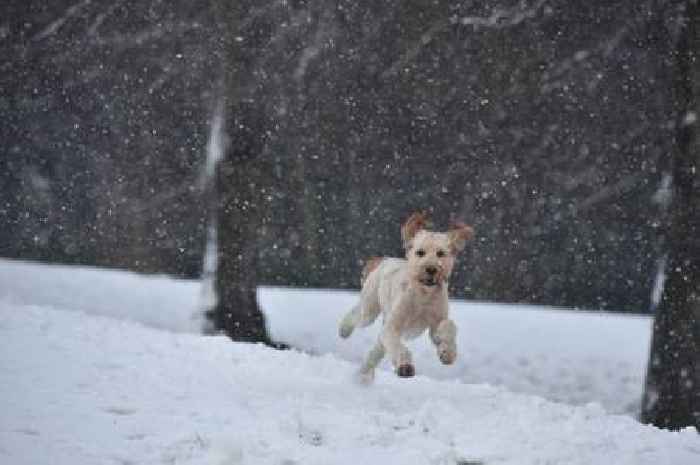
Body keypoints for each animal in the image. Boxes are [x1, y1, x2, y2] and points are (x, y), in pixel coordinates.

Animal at [340, 212, 476, 382]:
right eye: (420, 252)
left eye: (440, 253)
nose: (431, 269)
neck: (423, 295)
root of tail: (384, 260)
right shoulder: (392, 326)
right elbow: (397, 345)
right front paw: (405, 366)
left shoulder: (435, 324)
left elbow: (448, 326)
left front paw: (447, 353)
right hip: (369, 309)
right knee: (357, 315)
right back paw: (344, 330)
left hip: (380, 335)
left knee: (374, 352)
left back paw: (364, 376)